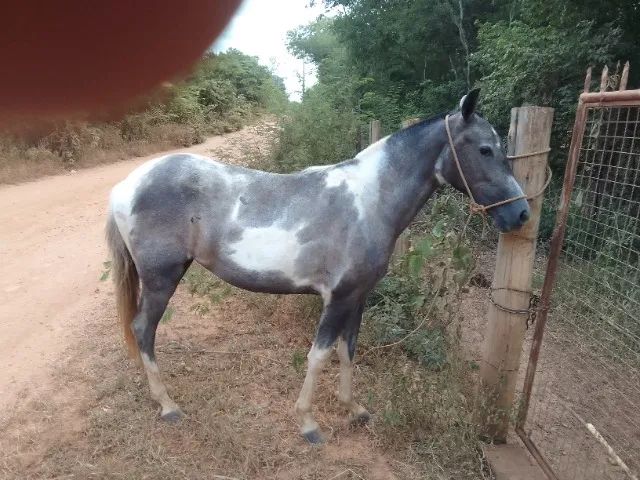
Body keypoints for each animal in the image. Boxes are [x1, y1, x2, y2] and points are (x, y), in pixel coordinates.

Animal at [105, 89, 530, 444]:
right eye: (485, 150)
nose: (522, 214)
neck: (370, 200)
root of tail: (126, 186)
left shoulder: (358, 297)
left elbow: (347, 350)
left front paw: (353, 409)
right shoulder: (338, 298)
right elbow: (319, 355)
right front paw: (309, 424)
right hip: (161, 280)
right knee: (143, 330)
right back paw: (168, 405)